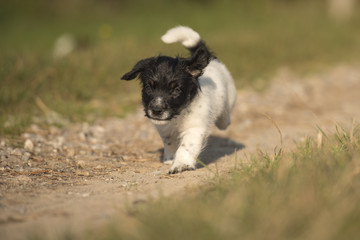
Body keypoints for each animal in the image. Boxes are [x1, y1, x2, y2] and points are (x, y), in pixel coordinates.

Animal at [122, 25, 238, 172]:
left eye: (176, 90)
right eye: (149, 87)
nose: (156, 110)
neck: (178, 115)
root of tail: (212, 60)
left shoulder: (194, 128)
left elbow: (186, 147)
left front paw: (181, 164)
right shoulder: (165, 129)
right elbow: (169, 142)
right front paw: (170, 158)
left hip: (230, 97)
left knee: (225, 116)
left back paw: (224, 121)